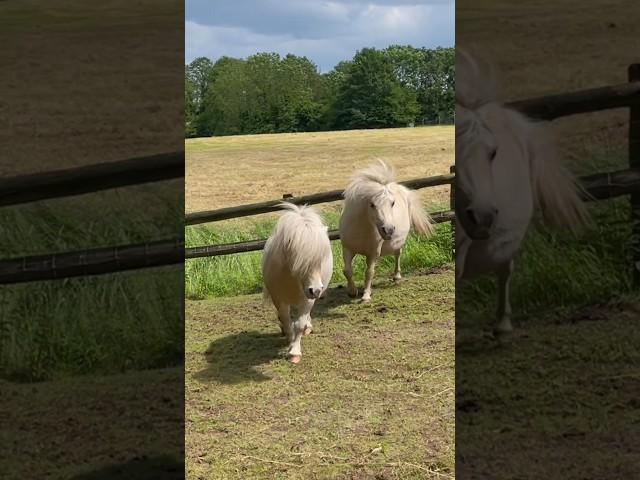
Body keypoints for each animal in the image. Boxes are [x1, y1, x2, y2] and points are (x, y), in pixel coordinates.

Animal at [262, 202, 332, 364]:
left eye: (321, 260)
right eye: (300, 260)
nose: (316, 290)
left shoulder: (307, 299)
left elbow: (299, 324)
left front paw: (294, 352)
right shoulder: (279, 299)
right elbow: (286, 319)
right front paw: (289, 338)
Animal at [338, 163, 432, 302]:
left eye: (392, 203)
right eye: (372, 204)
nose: (388, 230)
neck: (361, 228)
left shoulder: (373, 253)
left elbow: (369, 272)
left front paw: (366, 296)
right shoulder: (347, 249)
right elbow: (347, 271)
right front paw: (352, 292)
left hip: (398, 242)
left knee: (398, 254)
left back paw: (397, 276)